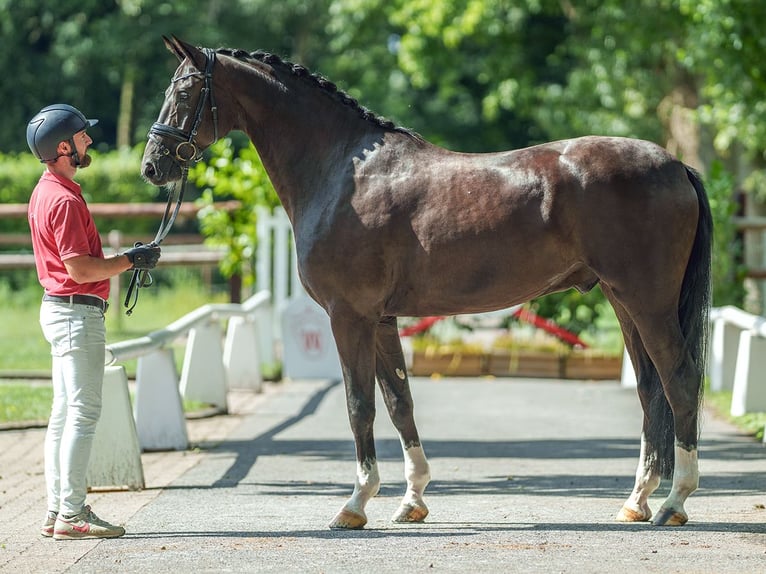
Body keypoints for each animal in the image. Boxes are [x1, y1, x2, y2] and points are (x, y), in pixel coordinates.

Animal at [142, 37, 712, 532]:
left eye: (186, 92)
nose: (152, 166)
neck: (343, 173)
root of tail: (676, 165)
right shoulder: (382, 319)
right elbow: (400, 402)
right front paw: (412, 500)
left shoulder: (349, 316)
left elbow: (359, 405)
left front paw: (354, 505)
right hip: (623, 302)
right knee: (650, 390)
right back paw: (637, 502)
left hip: (648, 303)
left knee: (680, 382)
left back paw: (674, 503)